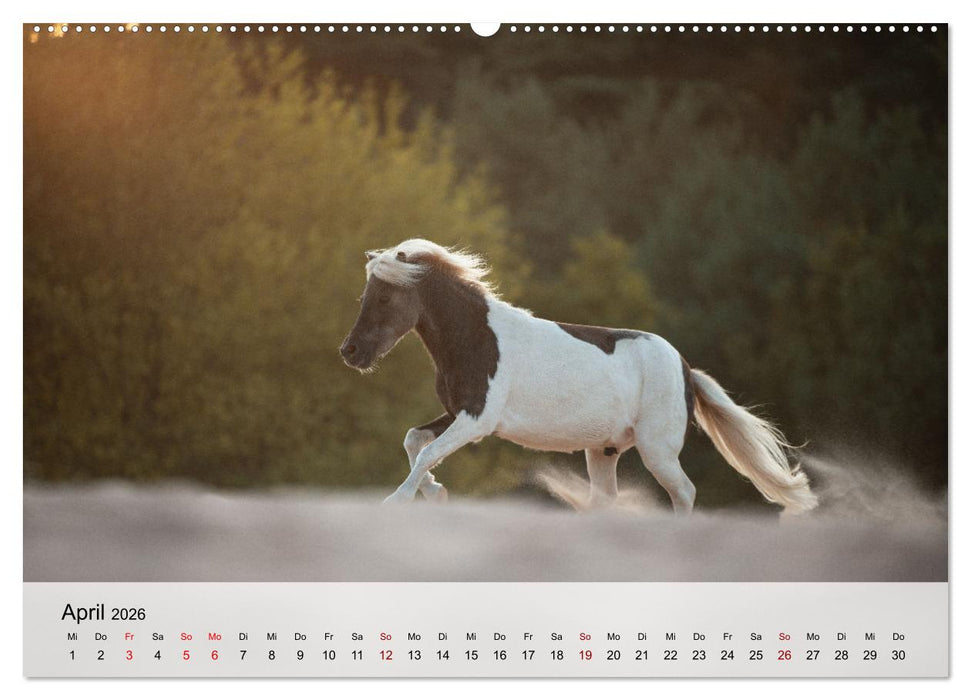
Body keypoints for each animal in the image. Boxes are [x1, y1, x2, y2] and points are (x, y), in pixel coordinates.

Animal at [339, 239, 818, 515]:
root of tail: (685, 367)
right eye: (364, 295)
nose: (351, 353)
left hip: (657, 450)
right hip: (603, 452)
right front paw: (435, 493)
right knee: (605, 500)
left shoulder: (477, 420)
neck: (476, 337)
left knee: (684, 492)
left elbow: (426, 452)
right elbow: (414, 441)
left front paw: (398, 500)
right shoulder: (460, 413)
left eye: (385, 298)